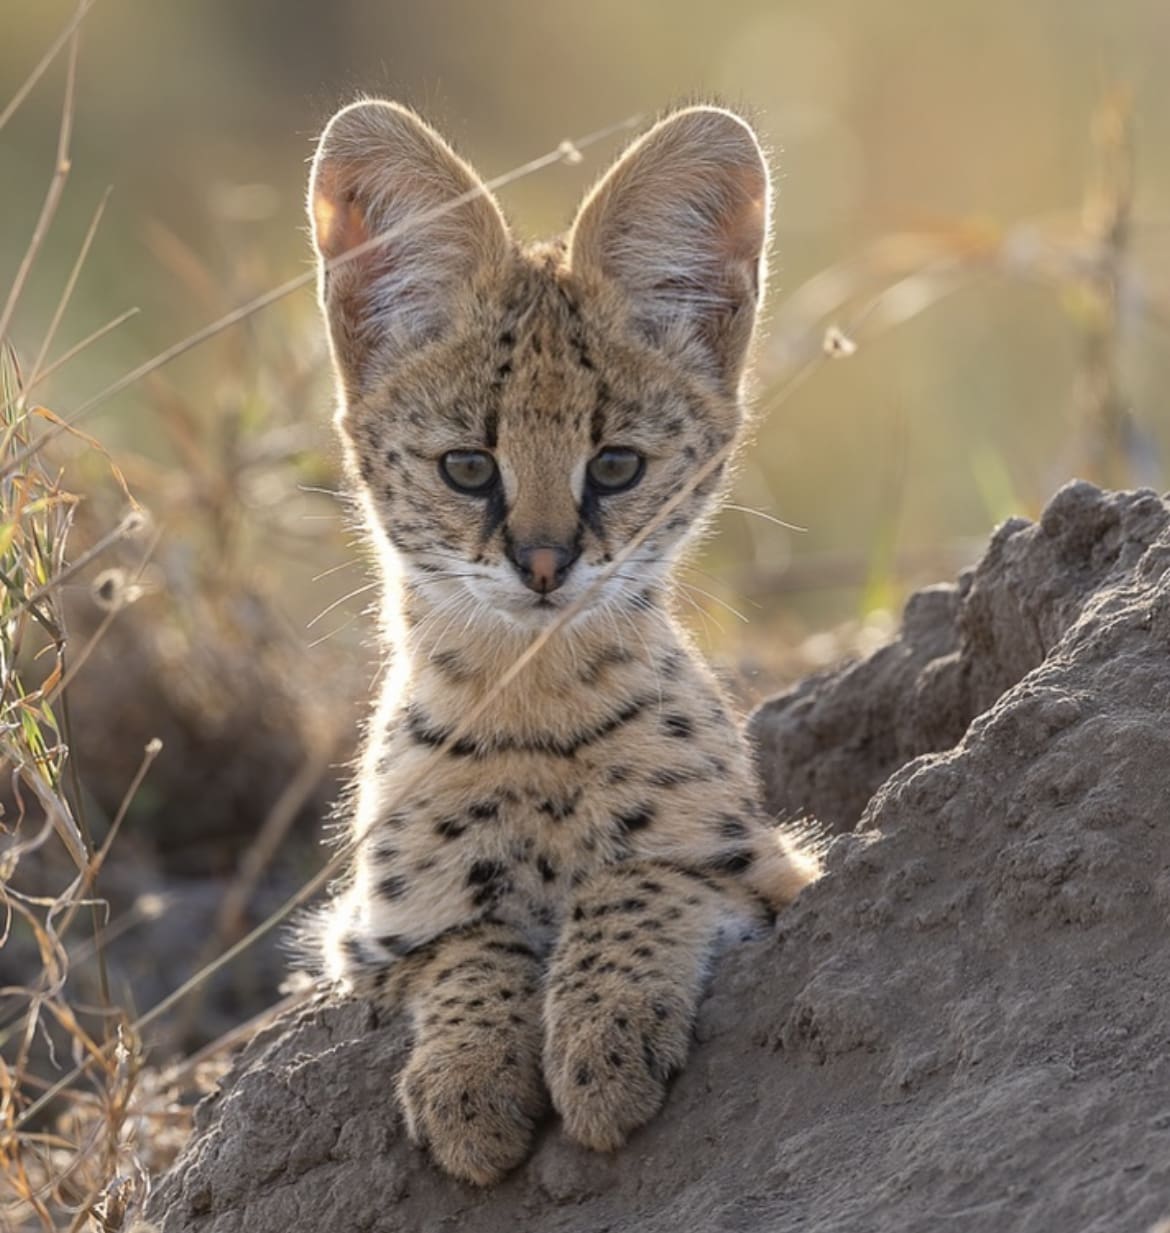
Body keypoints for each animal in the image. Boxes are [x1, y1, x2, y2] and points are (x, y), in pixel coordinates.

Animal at [308, 98, 823, 1183]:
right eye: (467, 467)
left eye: (617, 465)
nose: (544, 564)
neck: (532, 706)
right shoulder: (364, 942)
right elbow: (468, 943)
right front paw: (468, 1084)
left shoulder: (763, 870)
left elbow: (639, 879)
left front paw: (600, 1041)